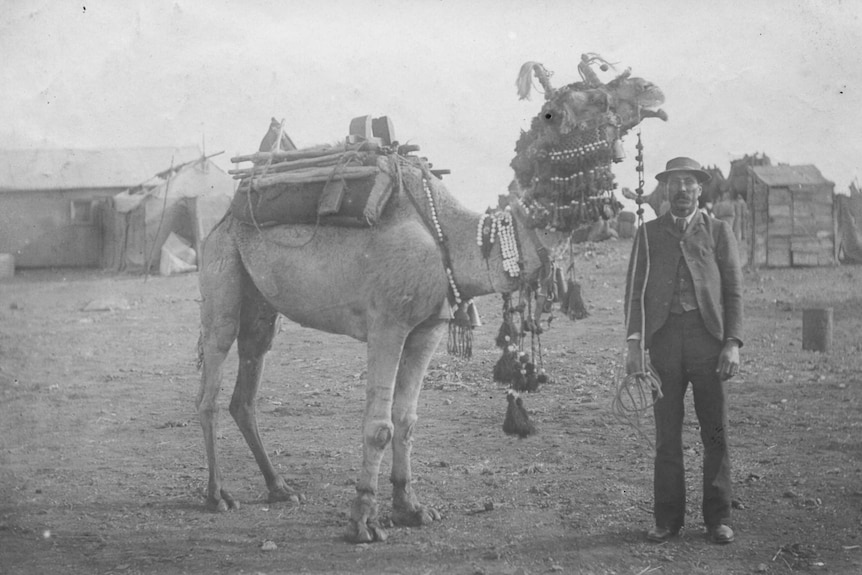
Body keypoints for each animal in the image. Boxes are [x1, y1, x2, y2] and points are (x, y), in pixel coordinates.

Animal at [194, 54, 668, 544]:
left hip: (262, 308)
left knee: (246, 389)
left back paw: (279, 487)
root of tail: (226, 214)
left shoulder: (428, 330)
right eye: (594, 97)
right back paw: (217, 495)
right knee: (210, 386)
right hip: (222, 278)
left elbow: (407, 419)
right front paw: (362, 520)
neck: (458, 240)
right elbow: (379, 426)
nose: (651, 89)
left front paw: (411, 508)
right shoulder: (387, 324)